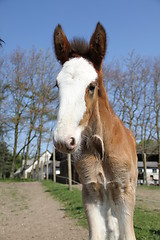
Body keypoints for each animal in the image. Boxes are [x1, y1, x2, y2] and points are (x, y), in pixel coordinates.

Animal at [52, 23, 138, 240]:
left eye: (92, 86)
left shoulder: (123, 189)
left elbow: (127, 234)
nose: (63, 140)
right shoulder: (91, 190)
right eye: (57, 84)